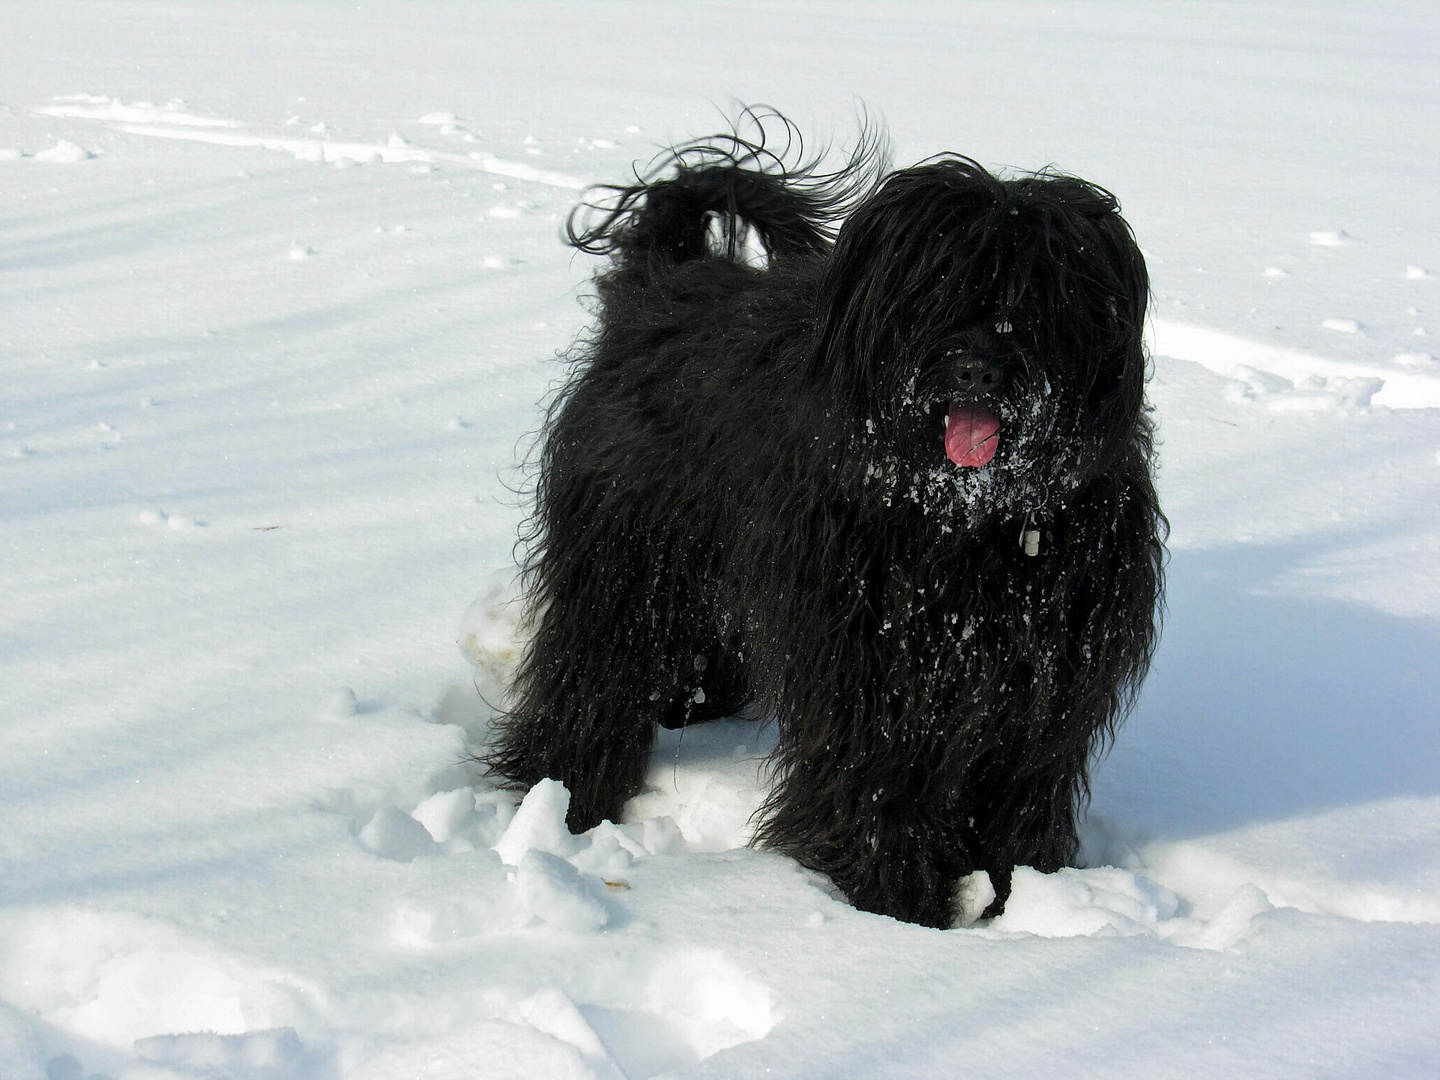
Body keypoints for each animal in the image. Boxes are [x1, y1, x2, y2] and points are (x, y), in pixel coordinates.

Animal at [489, 116, 1163, 933]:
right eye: (935, 288)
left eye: (1042, 297)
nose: (978, 370)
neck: (968, 526)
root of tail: (662, 286)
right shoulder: (868, 675)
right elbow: (876, 786)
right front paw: (892, 906)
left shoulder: (1041, 690)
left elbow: (1018, 794)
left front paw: (1023, 895)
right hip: (628, 555)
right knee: (593, 670)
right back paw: (566, 794)